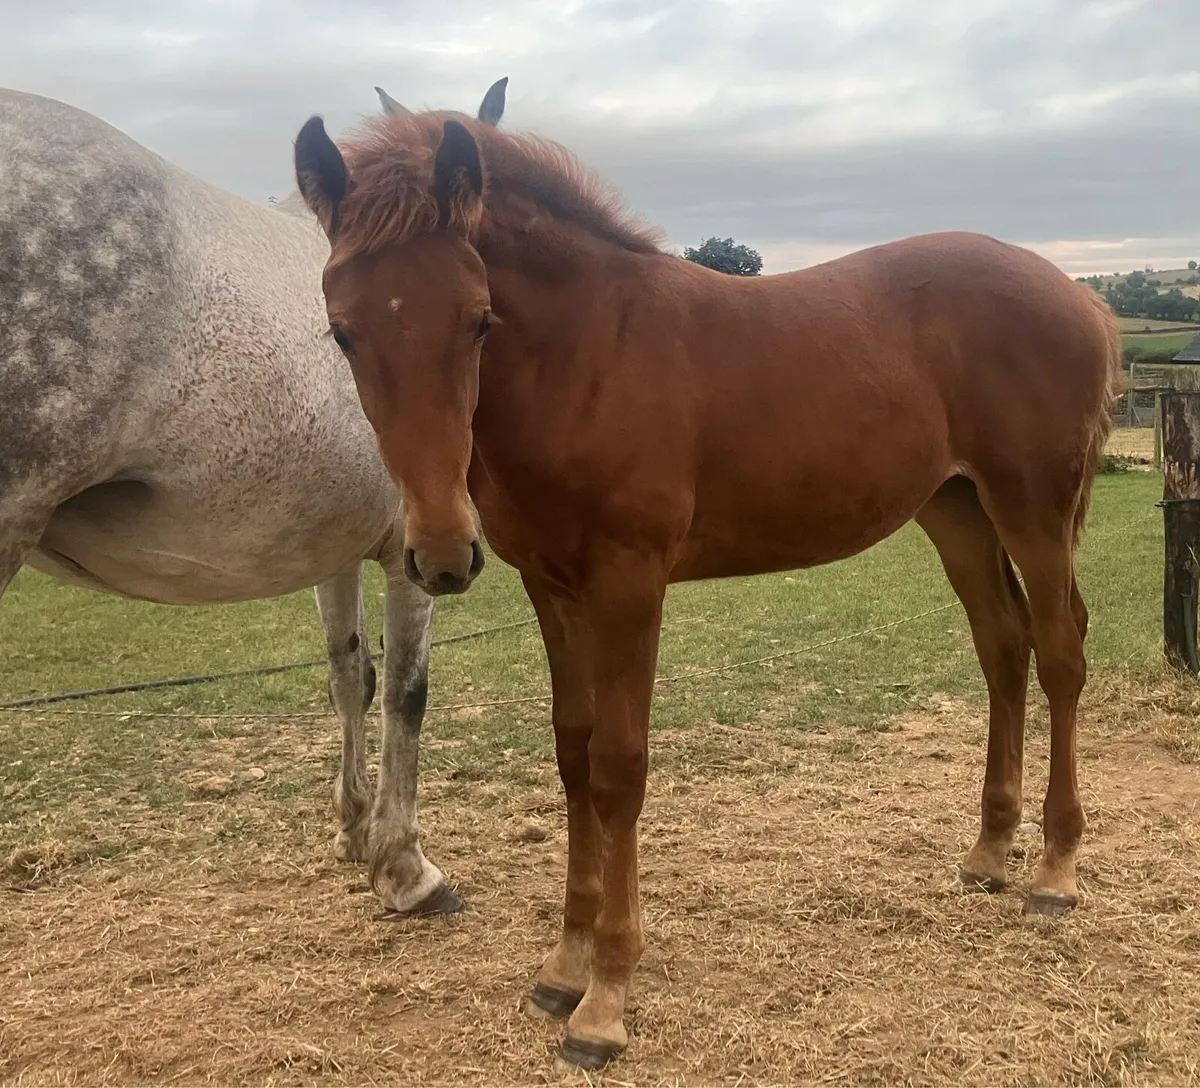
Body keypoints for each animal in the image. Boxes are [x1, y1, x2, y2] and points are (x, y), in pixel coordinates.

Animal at [0, 78, 507, 918]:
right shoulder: (413, 555)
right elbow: (407, 690)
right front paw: (407, 870)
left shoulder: (338, 552)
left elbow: (351, 676)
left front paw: (354, 831)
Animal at [290, 101, 1121, 1067]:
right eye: (343, 330)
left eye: (478, 320)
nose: (442, 553)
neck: (589, 355)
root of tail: (1080, 295)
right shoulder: (552, 589)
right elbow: (573, 759)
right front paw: (562, 967)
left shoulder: (630, 584)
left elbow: (618, 770)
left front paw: (605, 999)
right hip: (956, 512)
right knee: (1003, 644)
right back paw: (989, 853)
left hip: (1032, 510)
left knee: (1060, 651)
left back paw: (1055, 871)